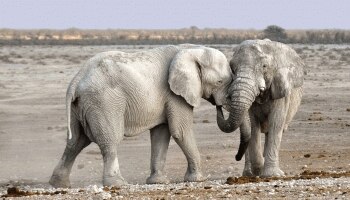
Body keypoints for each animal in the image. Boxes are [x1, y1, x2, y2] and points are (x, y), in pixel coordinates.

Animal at [49, 44, 234, 188]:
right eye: (219, 82)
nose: (219, 106)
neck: (192, 49)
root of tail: (76, 80)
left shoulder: (167, 97)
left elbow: (161, 134)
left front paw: (158, 182)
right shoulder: (175, 94)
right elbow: (180, 131)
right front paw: (199, 179)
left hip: (81, 106)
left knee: (76, 141)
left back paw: (59, 184)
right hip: (104, 102)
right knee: (110, 140)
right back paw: (118, 183)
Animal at [217, 39, 304, 177]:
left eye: (264, 66)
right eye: (232, 68)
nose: (236, 157)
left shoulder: (280, 90)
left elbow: (276, 123)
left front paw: (272, 175)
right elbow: (253, 125)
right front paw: (259, 169)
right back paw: (249, 174)